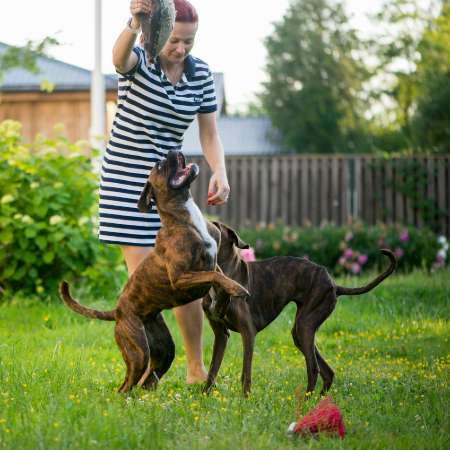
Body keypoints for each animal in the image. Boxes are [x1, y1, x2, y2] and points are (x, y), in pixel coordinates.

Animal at [59, 149, 250, 392]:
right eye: (159, 166)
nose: (171, 151)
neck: (184, 216)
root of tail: (117, 311)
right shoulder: (181, 277)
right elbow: (215, 276)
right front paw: (238, 289)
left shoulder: (212, 262)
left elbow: (220, 277)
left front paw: (226, 299)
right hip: (138, 352)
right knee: (126, 386)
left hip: (164, 350)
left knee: (145, 382)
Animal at [202, 223, 396, 396]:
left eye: (214, 227)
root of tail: (334, 284)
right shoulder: (221, 335)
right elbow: (212, 370)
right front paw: (203, 397)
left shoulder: (248, 331)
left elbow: (245, 373)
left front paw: (244, 400)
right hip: (301, 331)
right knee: (328, 372)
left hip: (305, 325)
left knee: (314, 369)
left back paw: (306, 403)